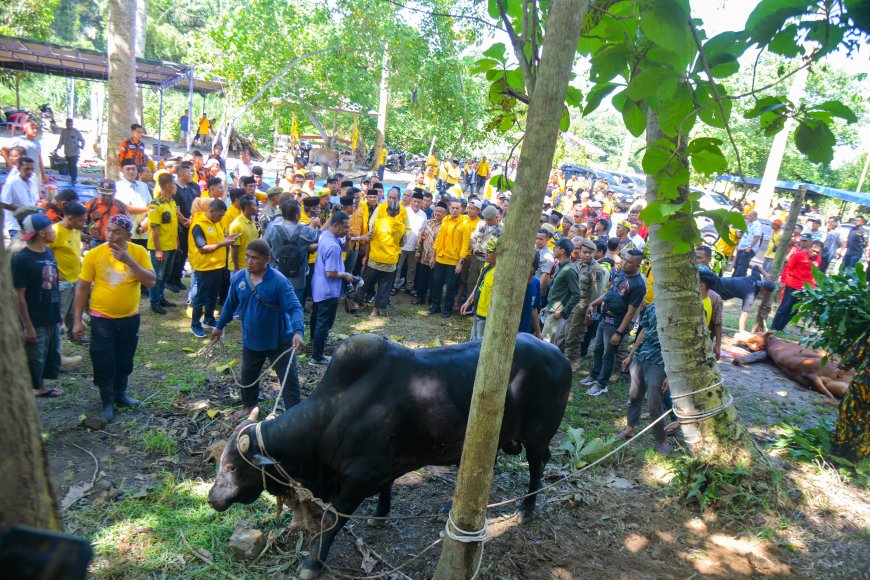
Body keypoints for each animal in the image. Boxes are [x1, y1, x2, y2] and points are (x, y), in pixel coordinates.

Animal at [208, 333, 571, 578]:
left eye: (232, 466)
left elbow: (331, 521)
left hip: (538, 436)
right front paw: (380, 514)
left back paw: (526, 509)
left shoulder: (359, 479)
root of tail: (557, 353)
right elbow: (386, 490)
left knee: (537, 467)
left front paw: (313, 562)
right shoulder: (384, 468)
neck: (335, 414)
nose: (212, 498)